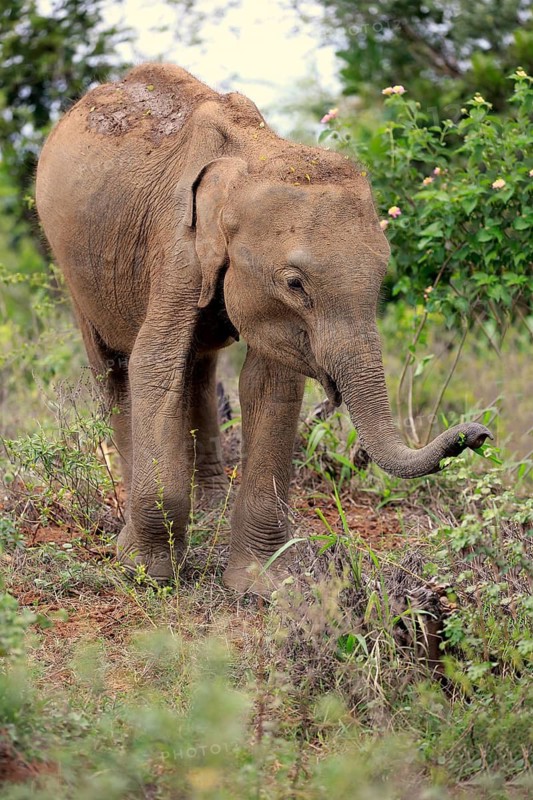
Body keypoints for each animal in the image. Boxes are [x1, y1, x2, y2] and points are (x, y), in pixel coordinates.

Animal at [35, 63, 491, 594]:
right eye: (295, 284)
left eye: (383, 277)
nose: (479, 434)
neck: (253, 156)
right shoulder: (176, 246)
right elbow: (155, 363)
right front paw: (147, 575)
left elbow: (270, 384)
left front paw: (262, 587)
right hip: (72, 267)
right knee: (115, 367)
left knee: (200, 365)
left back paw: (211, 506)